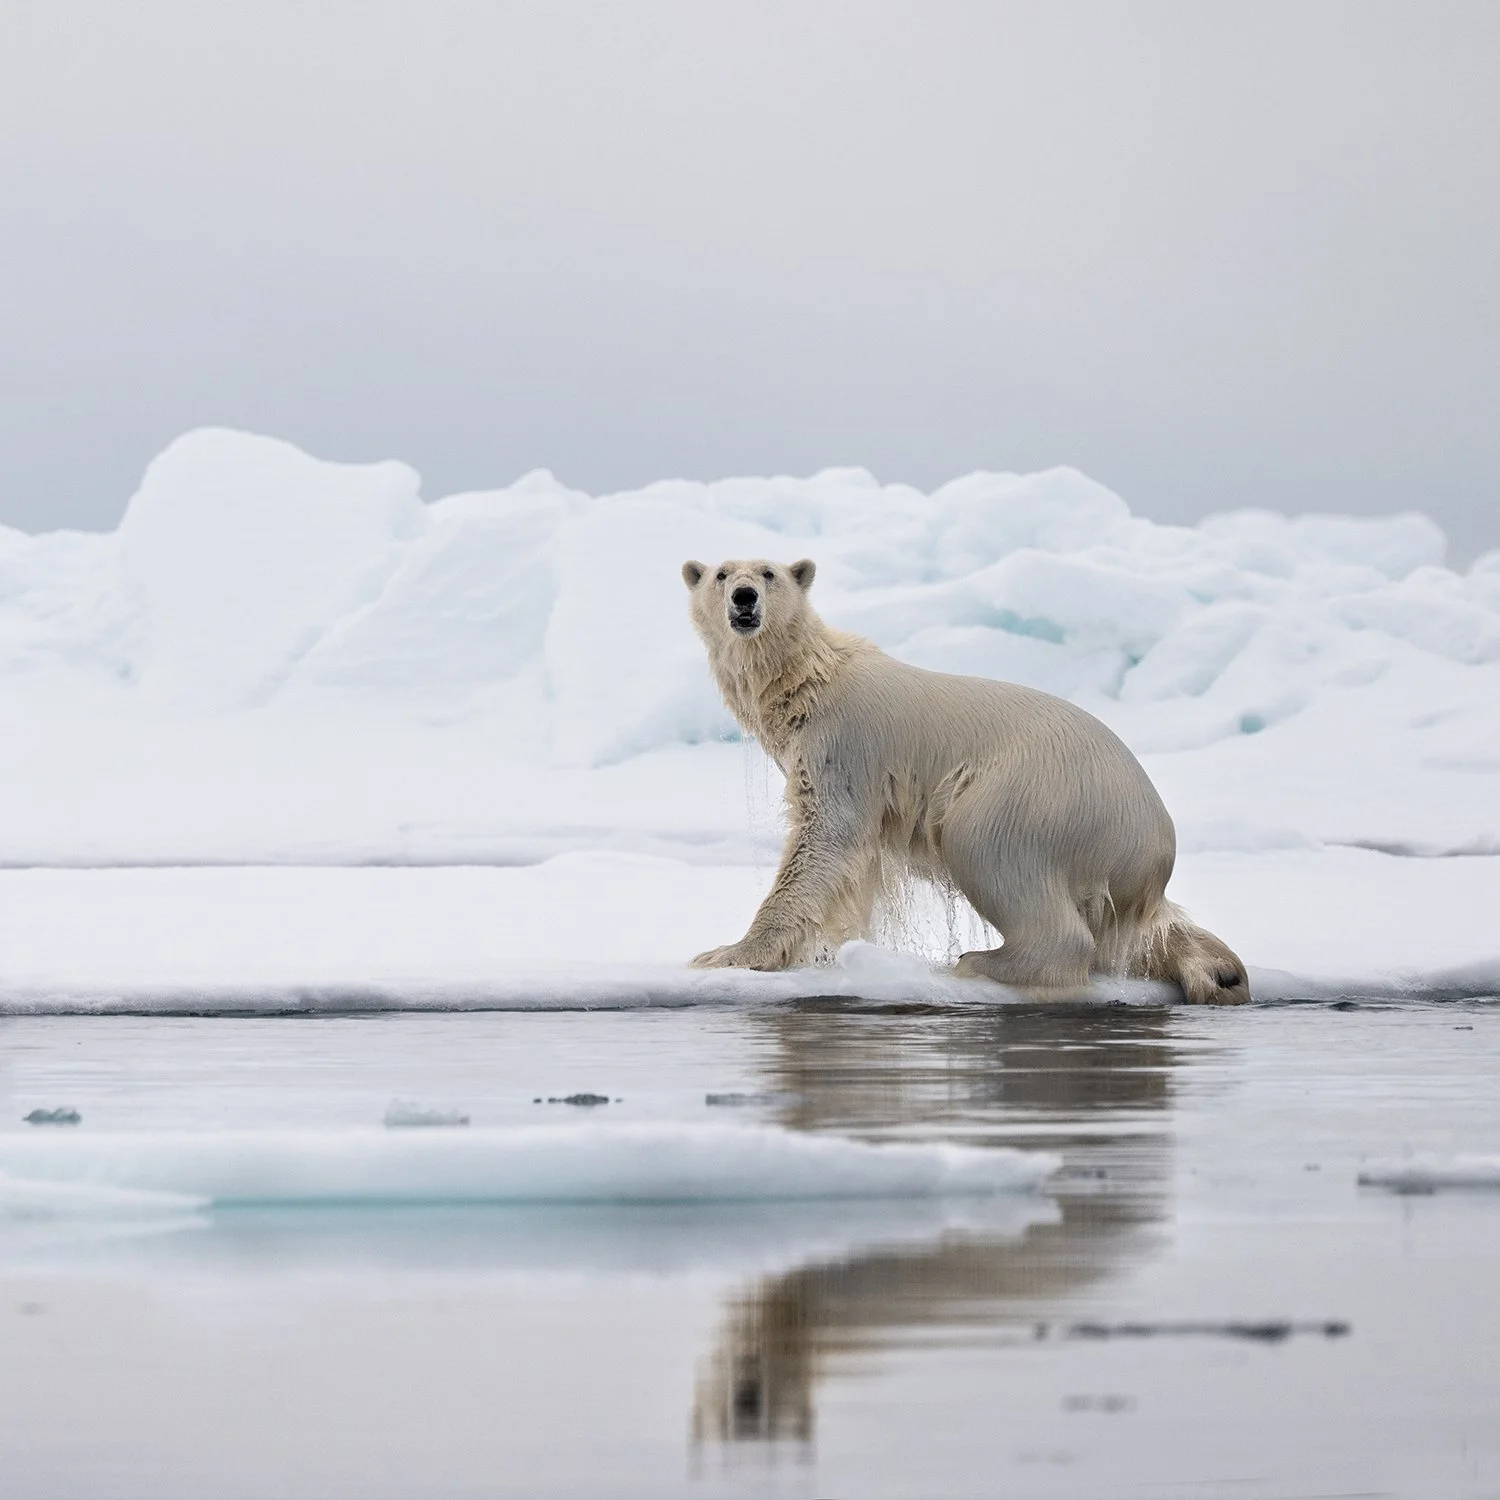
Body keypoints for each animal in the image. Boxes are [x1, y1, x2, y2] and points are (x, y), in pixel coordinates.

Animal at [681, 556, 1248, 1003]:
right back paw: (1220, 971)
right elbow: (851, 868)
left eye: (769, 572)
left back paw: (980, 960)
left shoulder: (843, 746)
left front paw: (729, 953)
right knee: (1138, 931)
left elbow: (825, 835)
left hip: (1034, 796)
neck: (810, 680)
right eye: (721, 573)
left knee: (993, 855)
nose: (744, 597)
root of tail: (1153, 840)